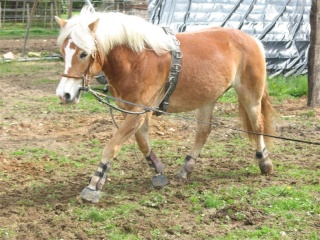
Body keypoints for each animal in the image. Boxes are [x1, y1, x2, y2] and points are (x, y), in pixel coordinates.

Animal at [55, 7, 276, 202]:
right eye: (63, 53)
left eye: (83, 53)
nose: (64, 94)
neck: (137, 59)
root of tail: (253, 40)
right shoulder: (132, 111)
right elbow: (142, 142)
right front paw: (158, 172)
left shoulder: (139, 112)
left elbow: (112, 145)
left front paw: (94, 184)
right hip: (208, 98)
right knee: (203, 132)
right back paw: (185, 169)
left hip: (250, 95)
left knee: (258, 126)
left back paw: (264, 162)